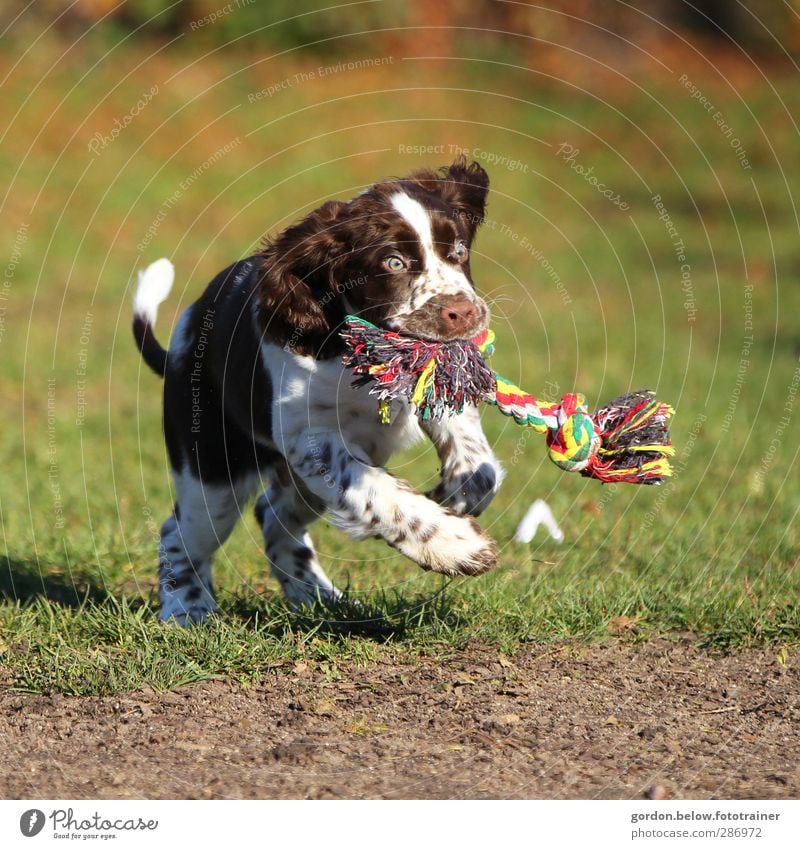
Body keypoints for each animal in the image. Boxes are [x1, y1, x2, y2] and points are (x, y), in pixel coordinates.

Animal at [134, 157, 504, 624]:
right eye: (393, 262)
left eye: (457, 249)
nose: (464, 313)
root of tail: (181, 340)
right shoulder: (311, 441)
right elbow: (377, 492)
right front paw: (456, 545)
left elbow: (469, 443)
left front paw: (463, 486)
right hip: (213, 472)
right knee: (180, 533)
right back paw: (188, 610)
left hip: (296, 489)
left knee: (274, 518)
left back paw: (320, 599)